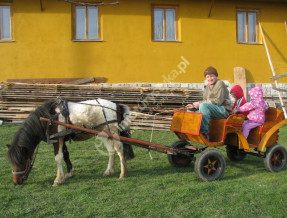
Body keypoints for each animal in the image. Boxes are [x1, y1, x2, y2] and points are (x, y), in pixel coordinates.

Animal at [6, 99, 135, 186]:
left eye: (22, 162)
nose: (16, 182)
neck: (48, 118)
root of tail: (116, 105)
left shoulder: (57, 139)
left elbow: (58, 158)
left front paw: (58, 179)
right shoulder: (61, 138)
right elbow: (65, 155)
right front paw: (70, 173)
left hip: (112, 132)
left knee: (119, 150)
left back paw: (123, 173)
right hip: (104, 133)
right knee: (111, 151)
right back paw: (109, 171)